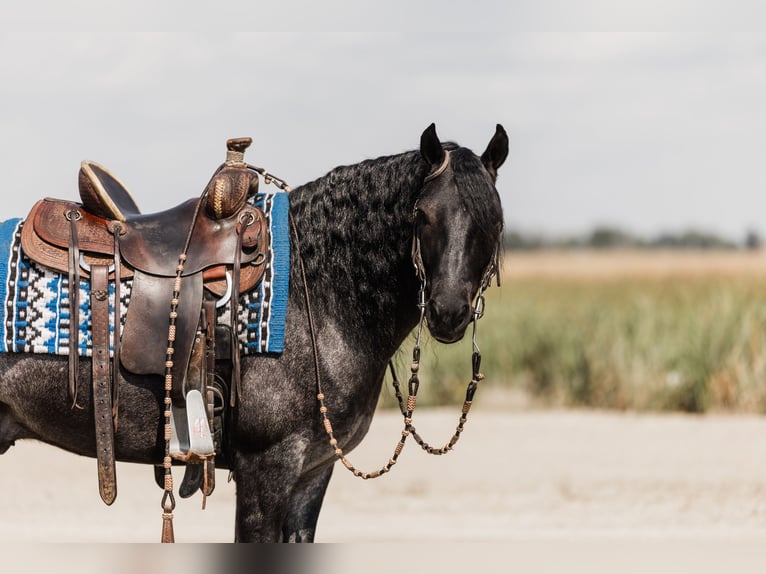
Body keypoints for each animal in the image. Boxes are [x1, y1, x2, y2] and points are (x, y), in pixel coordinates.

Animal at [0, 123, 507, 542]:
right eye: (422, 215)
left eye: (494, 219)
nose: (447, 311)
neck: (316, 293)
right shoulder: (266, 469)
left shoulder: (312, 475)